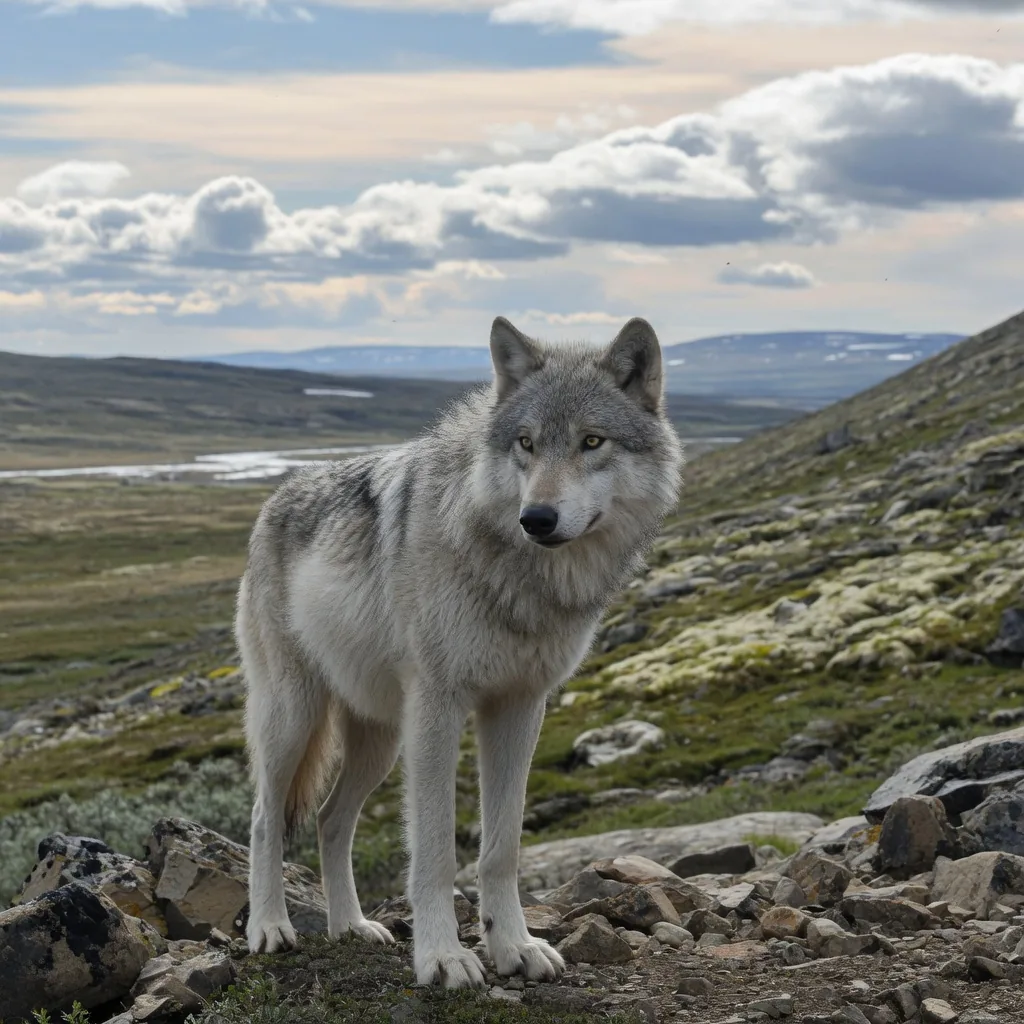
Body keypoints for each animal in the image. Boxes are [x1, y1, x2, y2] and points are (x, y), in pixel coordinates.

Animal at [236, 315, 683, 989]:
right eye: (525, 443)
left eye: (592, 441)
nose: (537, 517)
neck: (516, 575)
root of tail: (274, 498)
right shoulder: (439, 709)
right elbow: (436, 854)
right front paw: (443, 957)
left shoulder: (520, 708)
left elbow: (501, 848)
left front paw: (515, 946)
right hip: (298, 718)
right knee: (266, 818)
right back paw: (269, 927)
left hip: (380, 741)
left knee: (330, 819)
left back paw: (351, 926)